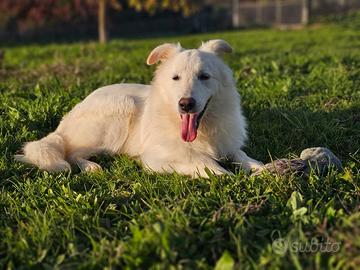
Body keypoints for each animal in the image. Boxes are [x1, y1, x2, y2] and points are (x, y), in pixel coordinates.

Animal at [15, 38, 262, 177]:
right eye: (176, 78)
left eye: (204, 77)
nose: (185, 104)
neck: (203, 130)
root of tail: (63, 124)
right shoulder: (158, 158)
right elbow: (206, 163)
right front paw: (229, 175)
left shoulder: (228, 146)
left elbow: (243, 156)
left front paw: (263, 169)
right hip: (119, 112)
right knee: (71, 153)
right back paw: (90, 167)